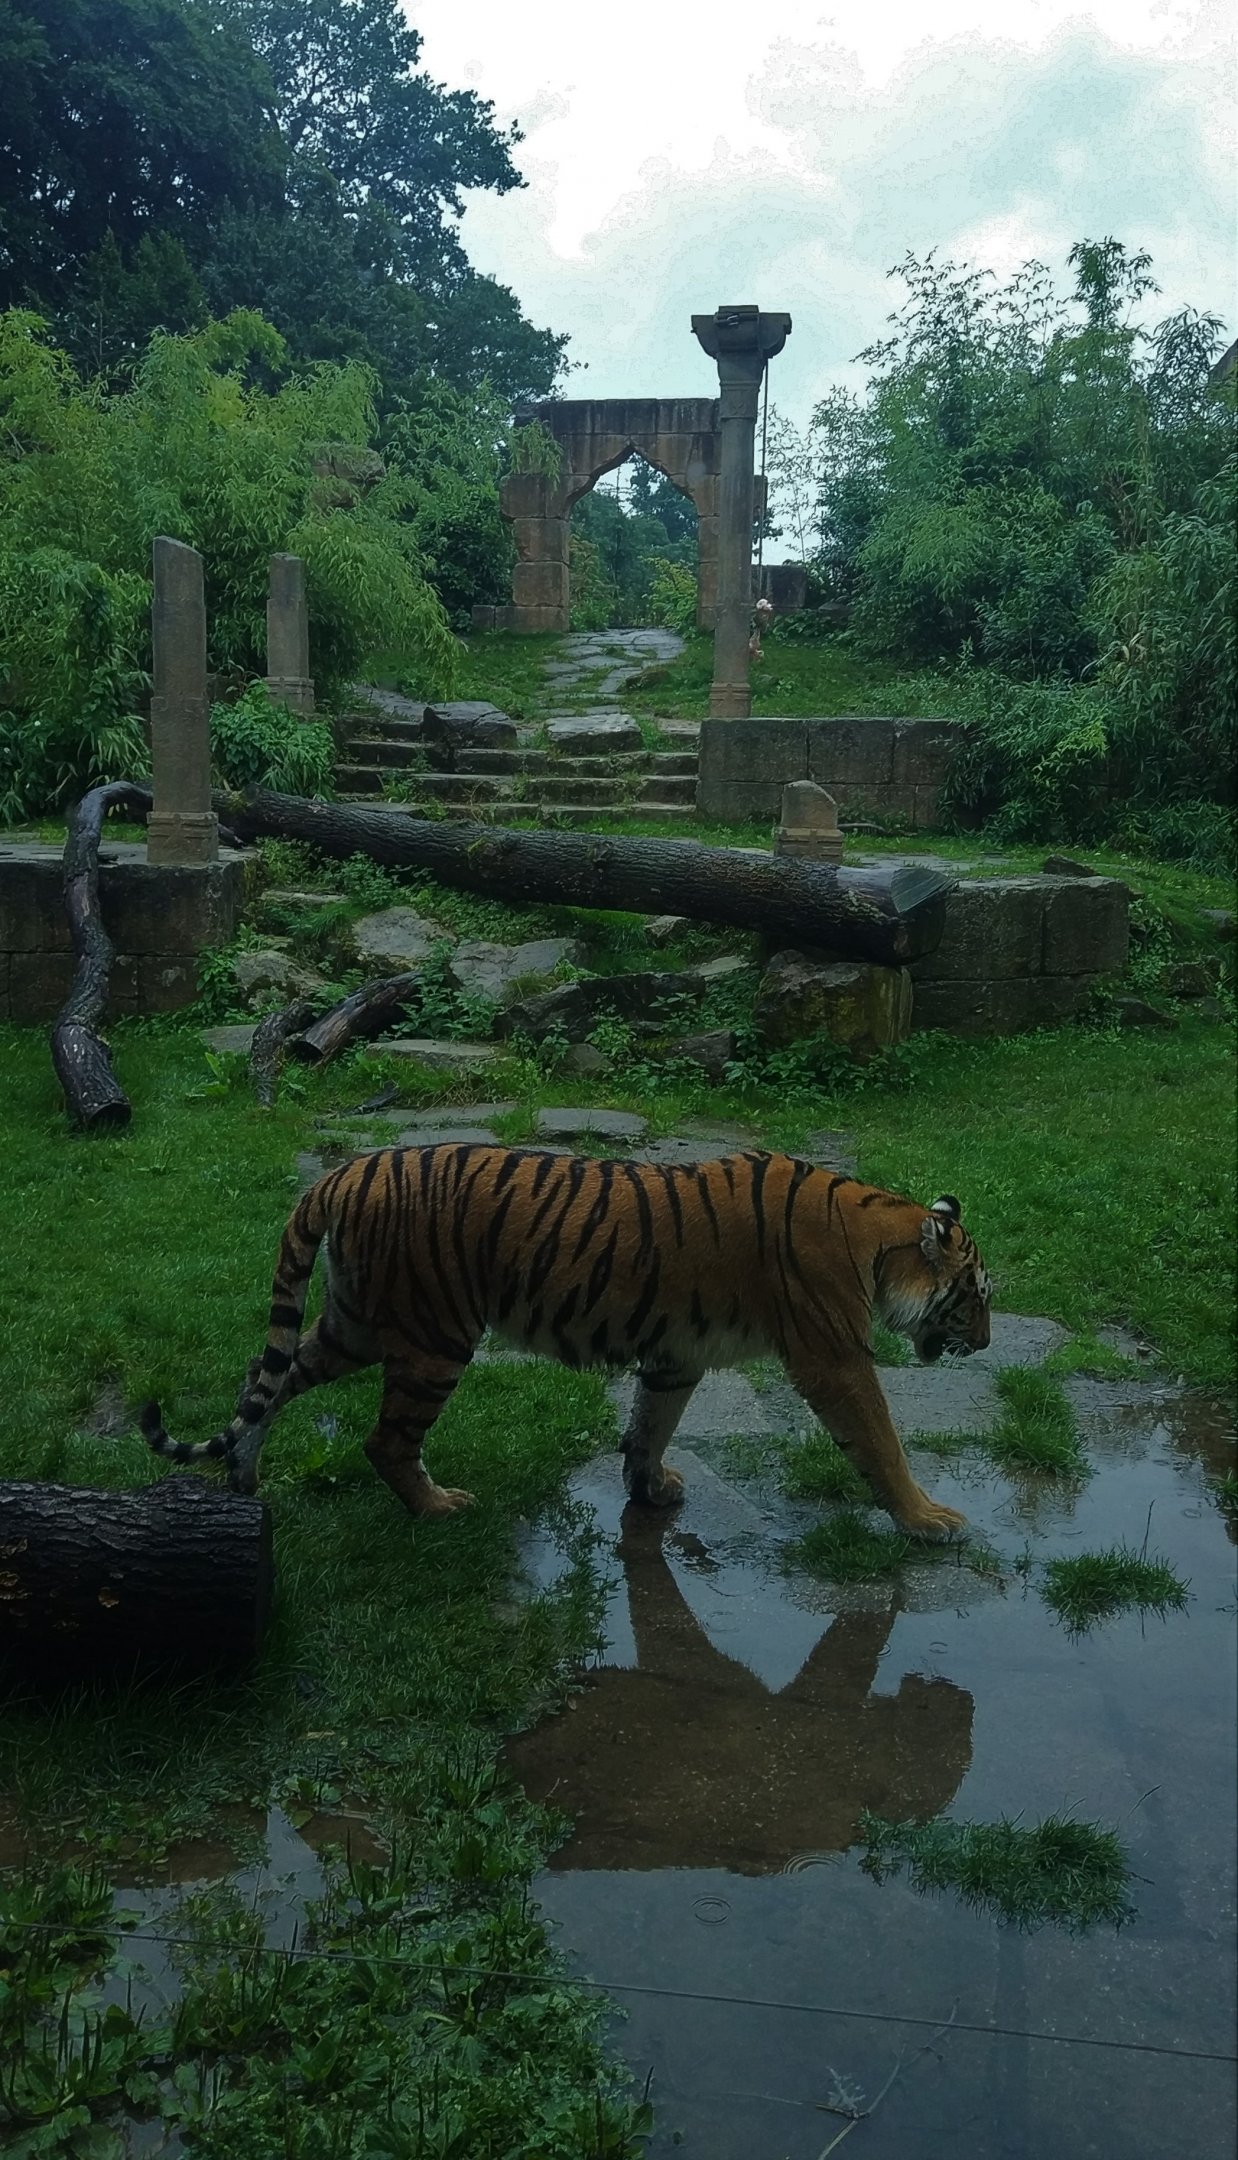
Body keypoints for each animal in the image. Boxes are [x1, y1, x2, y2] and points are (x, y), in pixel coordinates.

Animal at [141, 1146, 992, 1540]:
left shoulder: (676, 1355)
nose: (986, 1346)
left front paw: (649, 1488)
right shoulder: (833, 1356)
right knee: (383, 1440)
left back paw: (243, 1479)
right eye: (978, 1297)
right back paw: (439, 1507)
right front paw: (927, 1520)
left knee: (267, 1378)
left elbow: (651, 1425)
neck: (875, 1237)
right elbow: (879, 1439)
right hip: (434, 1336)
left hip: (355, 1322)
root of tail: (341, 1173)